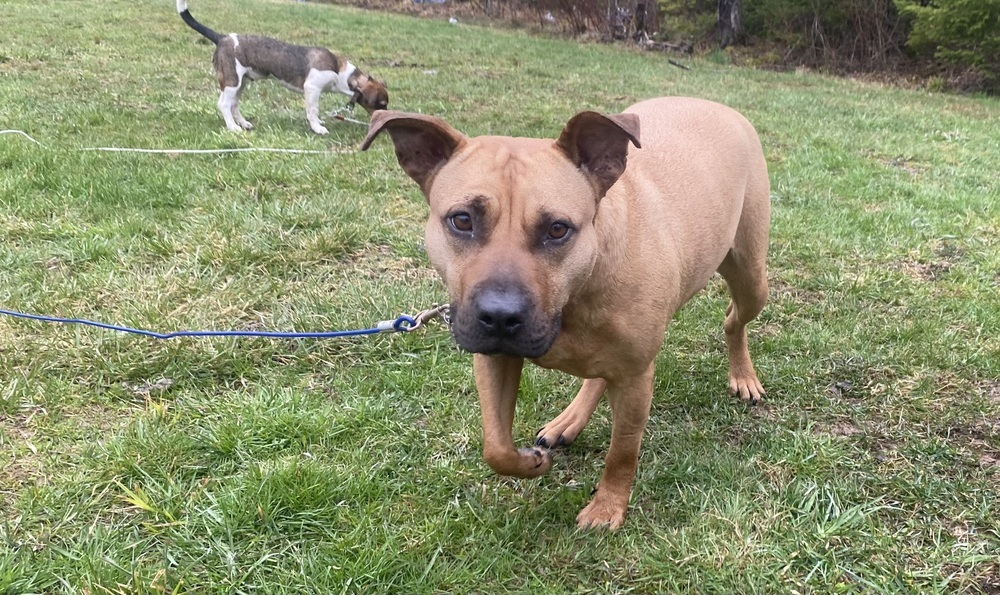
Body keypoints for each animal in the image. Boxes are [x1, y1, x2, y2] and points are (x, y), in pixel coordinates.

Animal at [178, 0, 388, 134]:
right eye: (382, 103)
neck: (341, 73)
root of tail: (221, 38)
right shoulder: (312, 88)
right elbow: (313, 110)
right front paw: (317, 128)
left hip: (241, 82)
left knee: (233, 104)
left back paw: (244, 123)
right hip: (232, 80)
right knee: (223, 104)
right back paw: (233, 127)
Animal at [364, 98, 768, 532]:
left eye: (558, 229)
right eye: (462, 220)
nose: (500, 316)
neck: (575, 296)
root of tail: (715, 104)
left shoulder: (635, 376)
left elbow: (622, 452)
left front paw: (607, 507)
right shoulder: (495, 357)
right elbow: (496, 446)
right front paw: (531, 462)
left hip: (751, 279)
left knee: (733, 318)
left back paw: (743, 376)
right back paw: (569, 420)